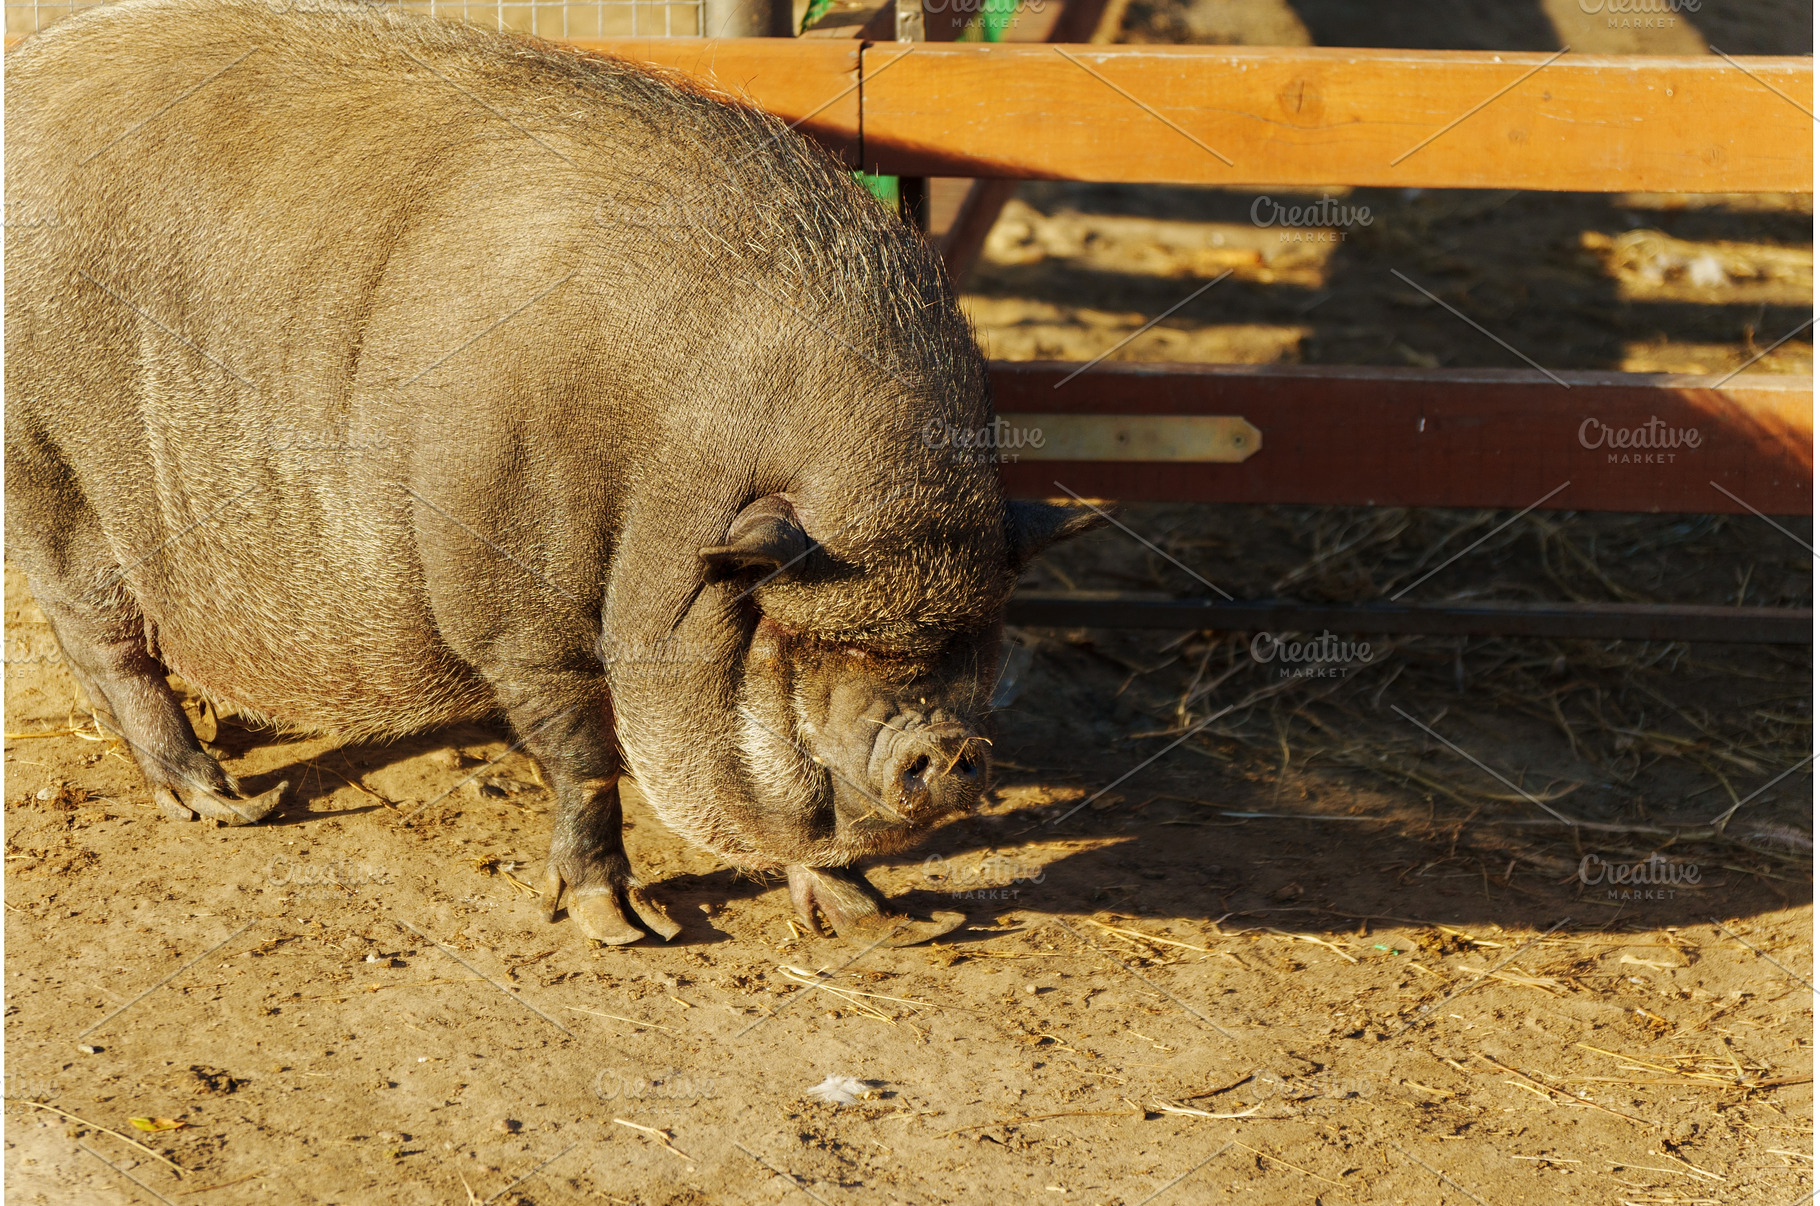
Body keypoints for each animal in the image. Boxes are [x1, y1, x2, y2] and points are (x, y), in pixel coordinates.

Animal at [5, 0, 1103, 944]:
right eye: (799, 638)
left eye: (968, 631)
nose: (947, 744)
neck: (668, 481)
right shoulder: (515, 605)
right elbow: (583, 755)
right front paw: (624, 929)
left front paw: (876, 918)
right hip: (46, 464)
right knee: (99, 629)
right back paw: (222, 803)